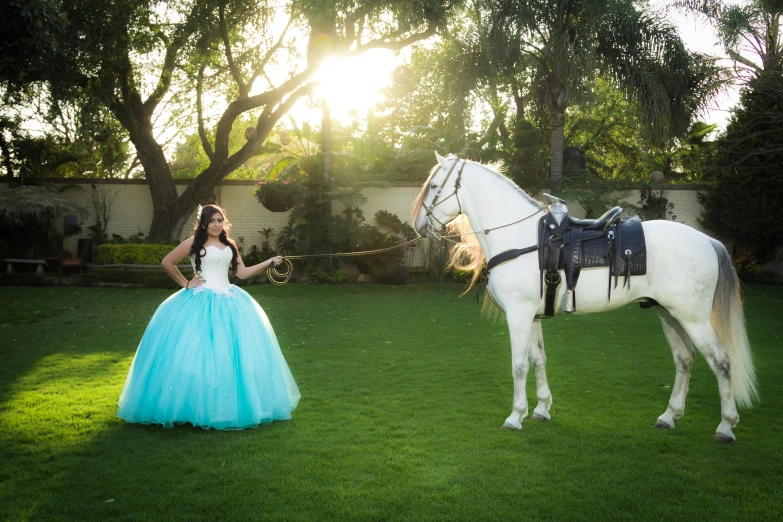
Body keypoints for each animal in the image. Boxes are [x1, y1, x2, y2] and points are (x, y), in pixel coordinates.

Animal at [414, 152, 756, 440]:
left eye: (435, 186)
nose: (418, 225)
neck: (523, 239)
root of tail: (709, 241)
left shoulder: (518, 314)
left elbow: (519, 365)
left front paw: (515, 417)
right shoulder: (533, 316)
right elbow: (538, 360)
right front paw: (541, 409)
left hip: (693, 319)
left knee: (721, 362)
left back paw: (726, 426)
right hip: (669, 314)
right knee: (684, 360)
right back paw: (669, 417)